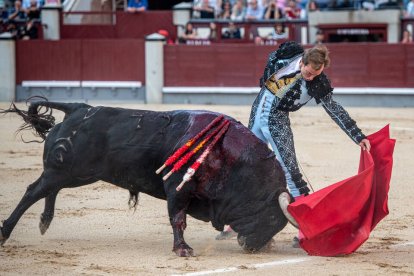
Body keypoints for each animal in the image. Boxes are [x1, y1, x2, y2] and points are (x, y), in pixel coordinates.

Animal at [0, 101, 294, 256]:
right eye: (271, 217)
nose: (254, 248)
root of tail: (78, 108)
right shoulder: (177, 188)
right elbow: (178, 218)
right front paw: (182, 249)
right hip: (67, 171)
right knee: (33, 191)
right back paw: (5, 233)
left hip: (75, 174)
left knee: (51, 189)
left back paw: (44, 222)